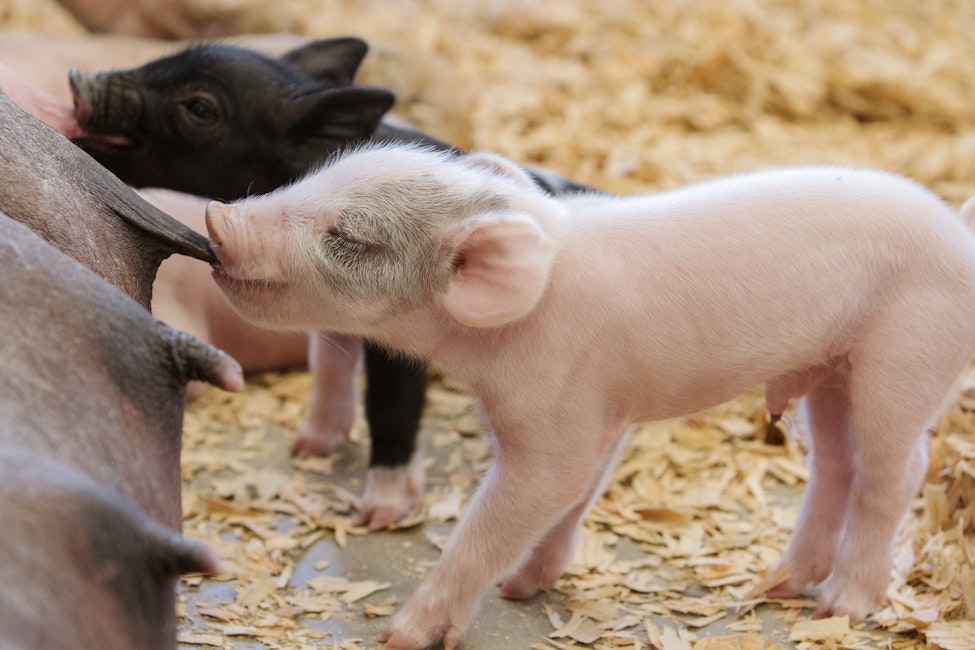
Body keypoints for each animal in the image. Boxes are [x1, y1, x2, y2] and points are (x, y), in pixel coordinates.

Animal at [68, 39, 592, 528]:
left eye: (199, 107)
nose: (78, 79)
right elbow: (327, 362)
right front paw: (308, 447)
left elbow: (390, 400)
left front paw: (380, 512)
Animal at [204, 143, 975, 649]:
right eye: (316, 176)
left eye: (350, 238)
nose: (217, 215)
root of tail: (959, 233)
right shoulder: (603, 412)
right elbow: (579, 494)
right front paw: (525, 587)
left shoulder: (558, 413)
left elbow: (523, 504)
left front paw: (404, 634)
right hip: (831, 370)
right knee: (836, 465)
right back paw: (779, 585)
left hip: (904, 360)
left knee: (895, 470)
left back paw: (837, 608)